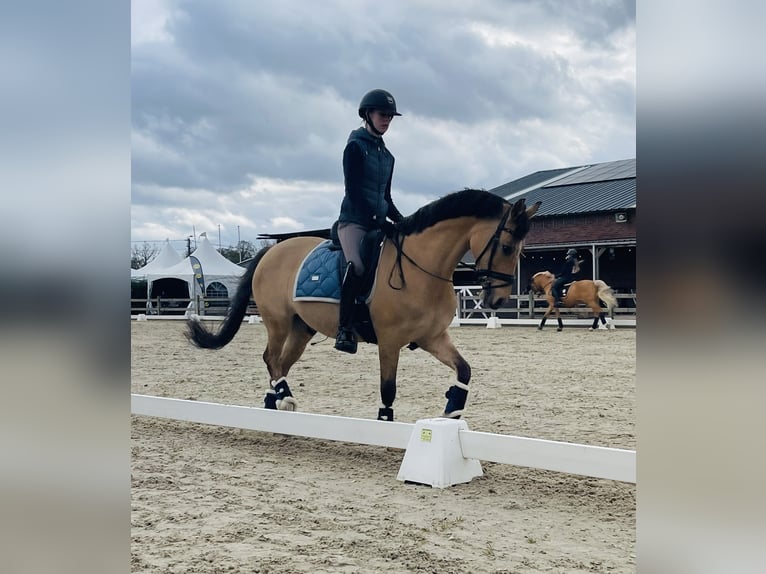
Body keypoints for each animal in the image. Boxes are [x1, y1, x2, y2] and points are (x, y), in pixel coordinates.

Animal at [189, 191, 544, 420]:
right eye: (507, 246)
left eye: (521, 250)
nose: (497, 300)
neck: (422, 267)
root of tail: (271, 251)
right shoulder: (389, 341)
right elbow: (388, 390)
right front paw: (386, 421)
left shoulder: (432, 337)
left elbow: (465, 370)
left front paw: (452, 407)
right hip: (278, 321)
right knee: (270, 358)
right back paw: (284, 397)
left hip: (302, 328)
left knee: (281, 362)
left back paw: (275, 401)